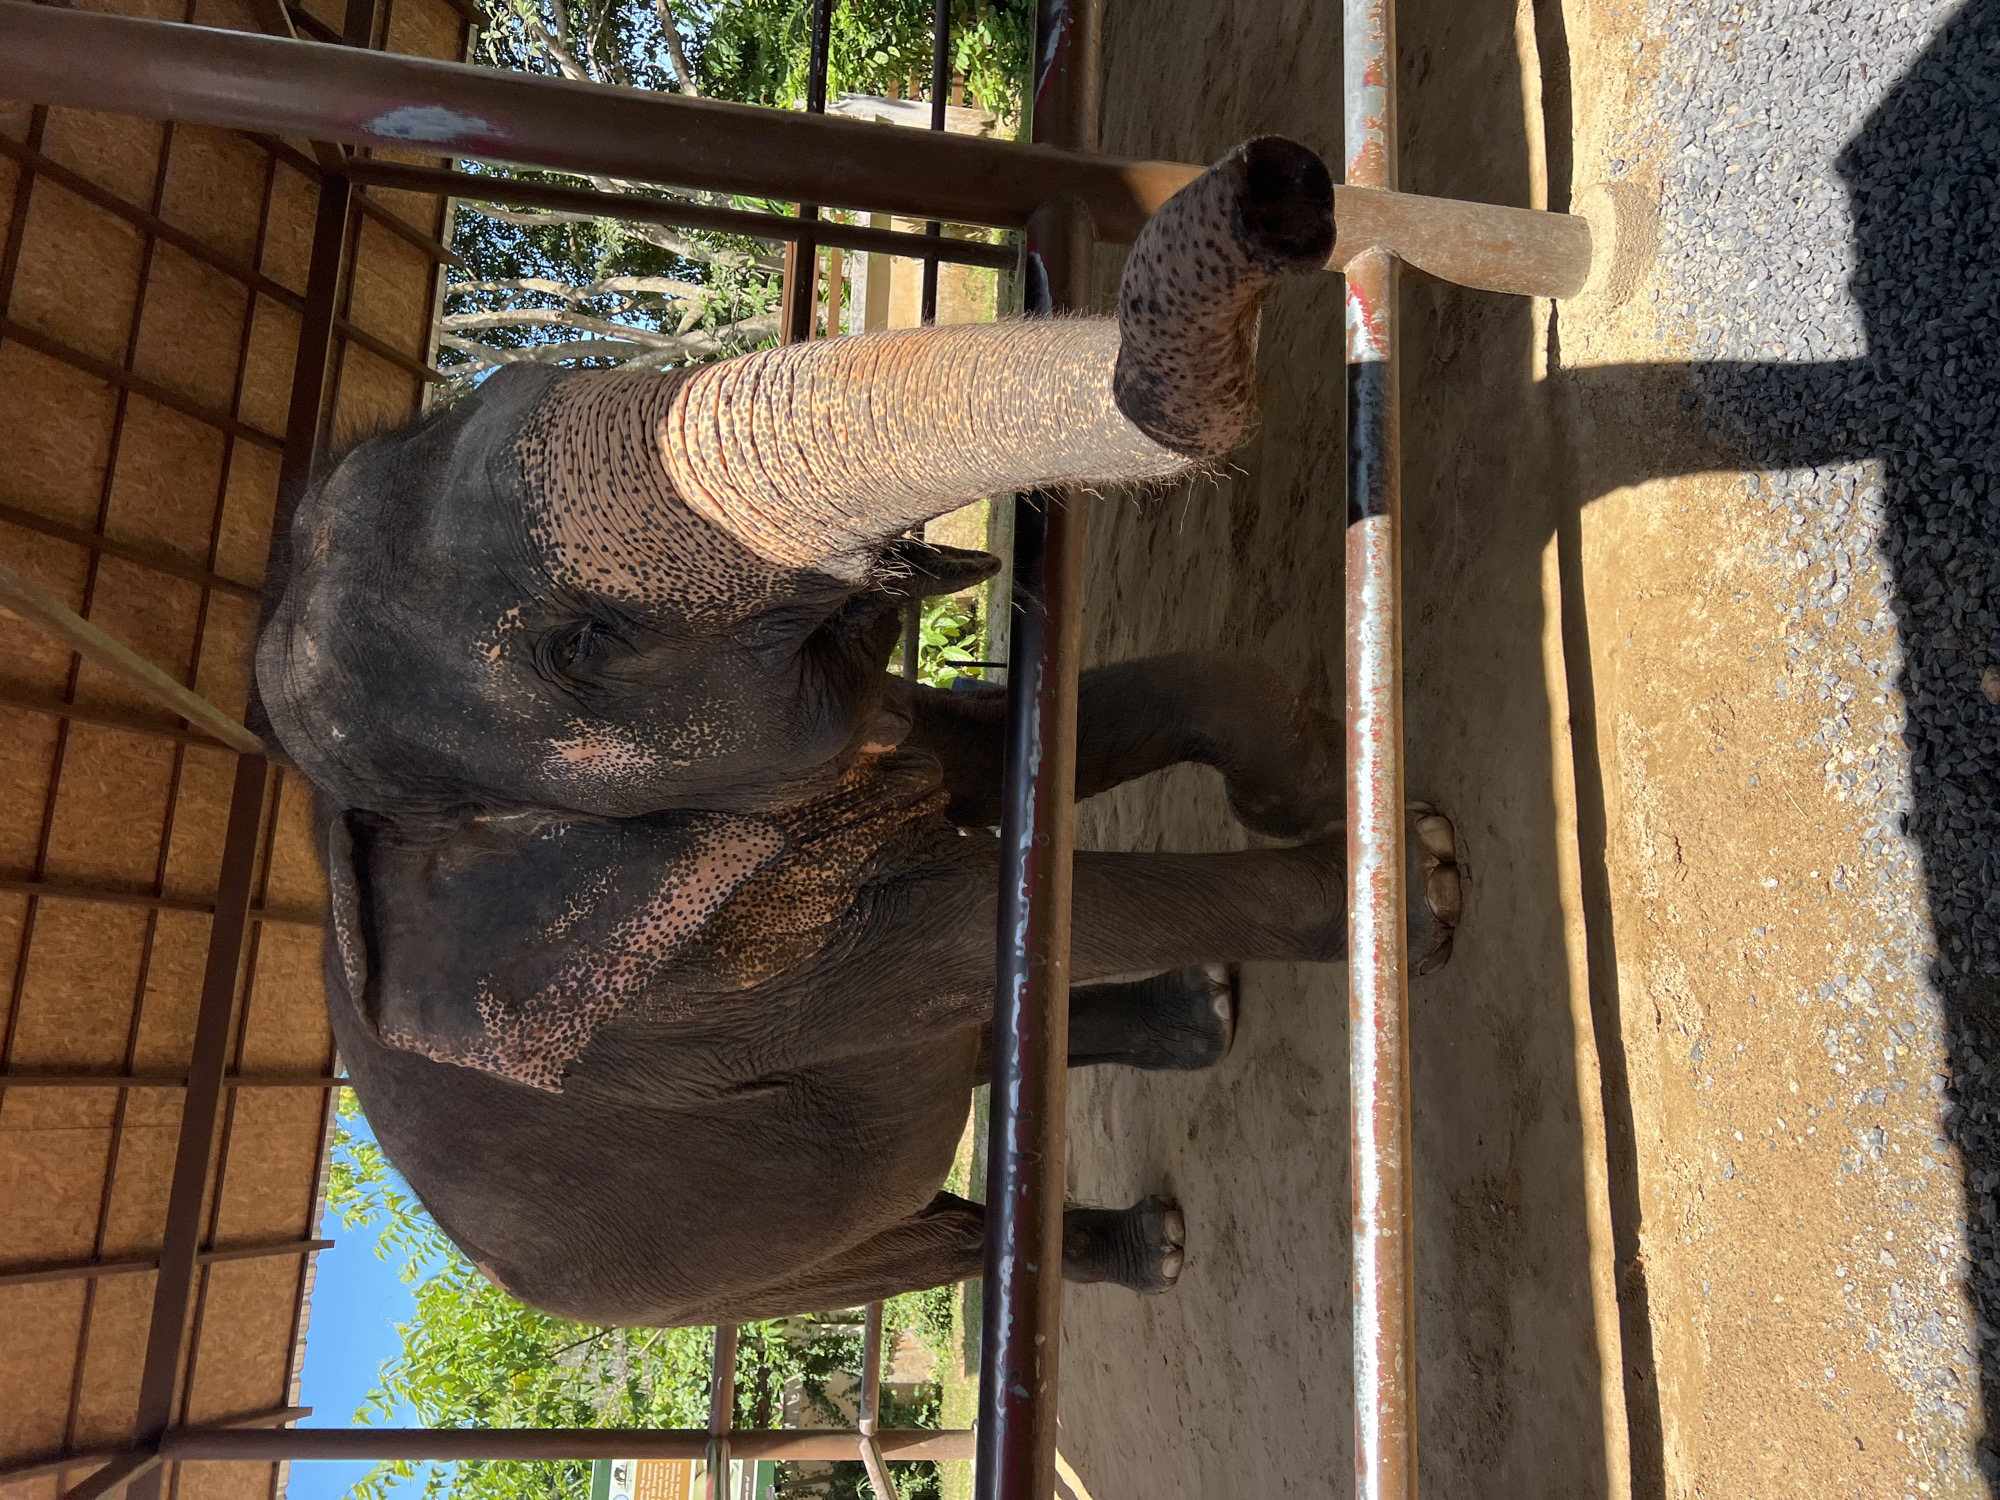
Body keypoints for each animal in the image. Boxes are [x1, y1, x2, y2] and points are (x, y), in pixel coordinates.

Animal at [255, 137, 1350, 1325]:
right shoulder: (673, 989)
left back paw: (1202, 1016)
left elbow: (991, 753)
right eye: (580, 645)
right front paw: (1402, 874)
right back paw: (1158, 1242)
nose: (1281, 187)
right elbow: (958, 933)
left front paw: (1316, 787)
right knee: (925, 1234)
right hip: (734, 1278)